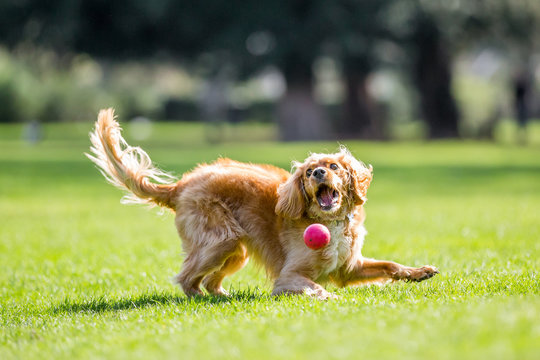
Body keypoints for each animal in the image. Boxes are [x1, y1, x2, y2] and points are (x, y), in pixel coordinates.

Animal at [86, 108, 436, 300]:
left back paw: (222, 297)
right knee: (186, 279)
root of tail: (181, 184)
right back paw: (200, 299)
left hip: (235, 251)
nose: (318, 172)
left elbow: (390, 265)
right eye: (308, 172)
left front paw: (418, 271)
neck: (330, 222)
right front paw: (325, 296)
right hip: (221, 241)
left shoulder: (349, 268)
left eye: (334, 166)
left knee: (209, 281)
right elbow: (310, 285)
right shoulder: (290, 275)